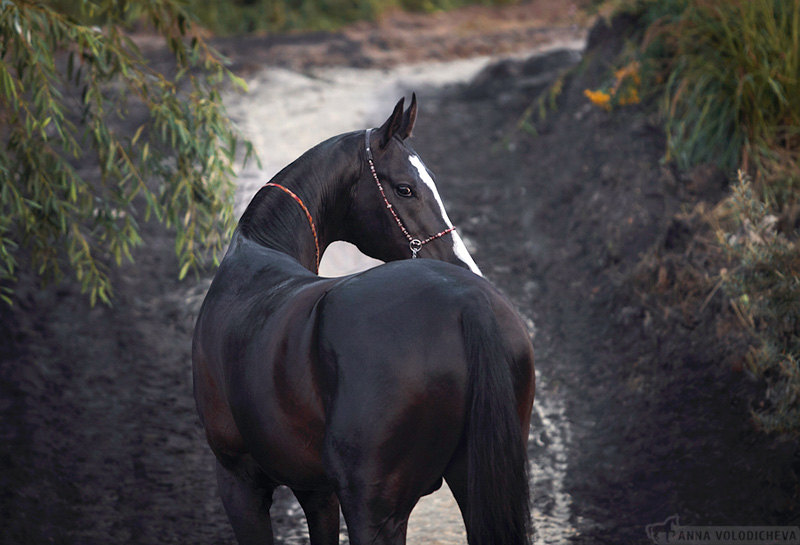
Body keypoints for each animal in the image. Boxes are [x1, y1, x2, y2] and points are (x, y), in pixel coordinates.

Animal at [191, 94, 536, 544]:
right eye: (405, 188)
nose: (463, 265)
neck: (257, 256)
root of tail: (470, 302)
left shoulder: (241, 481)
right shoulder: (316, 489)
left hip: (372, 507)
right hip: (474, 480)